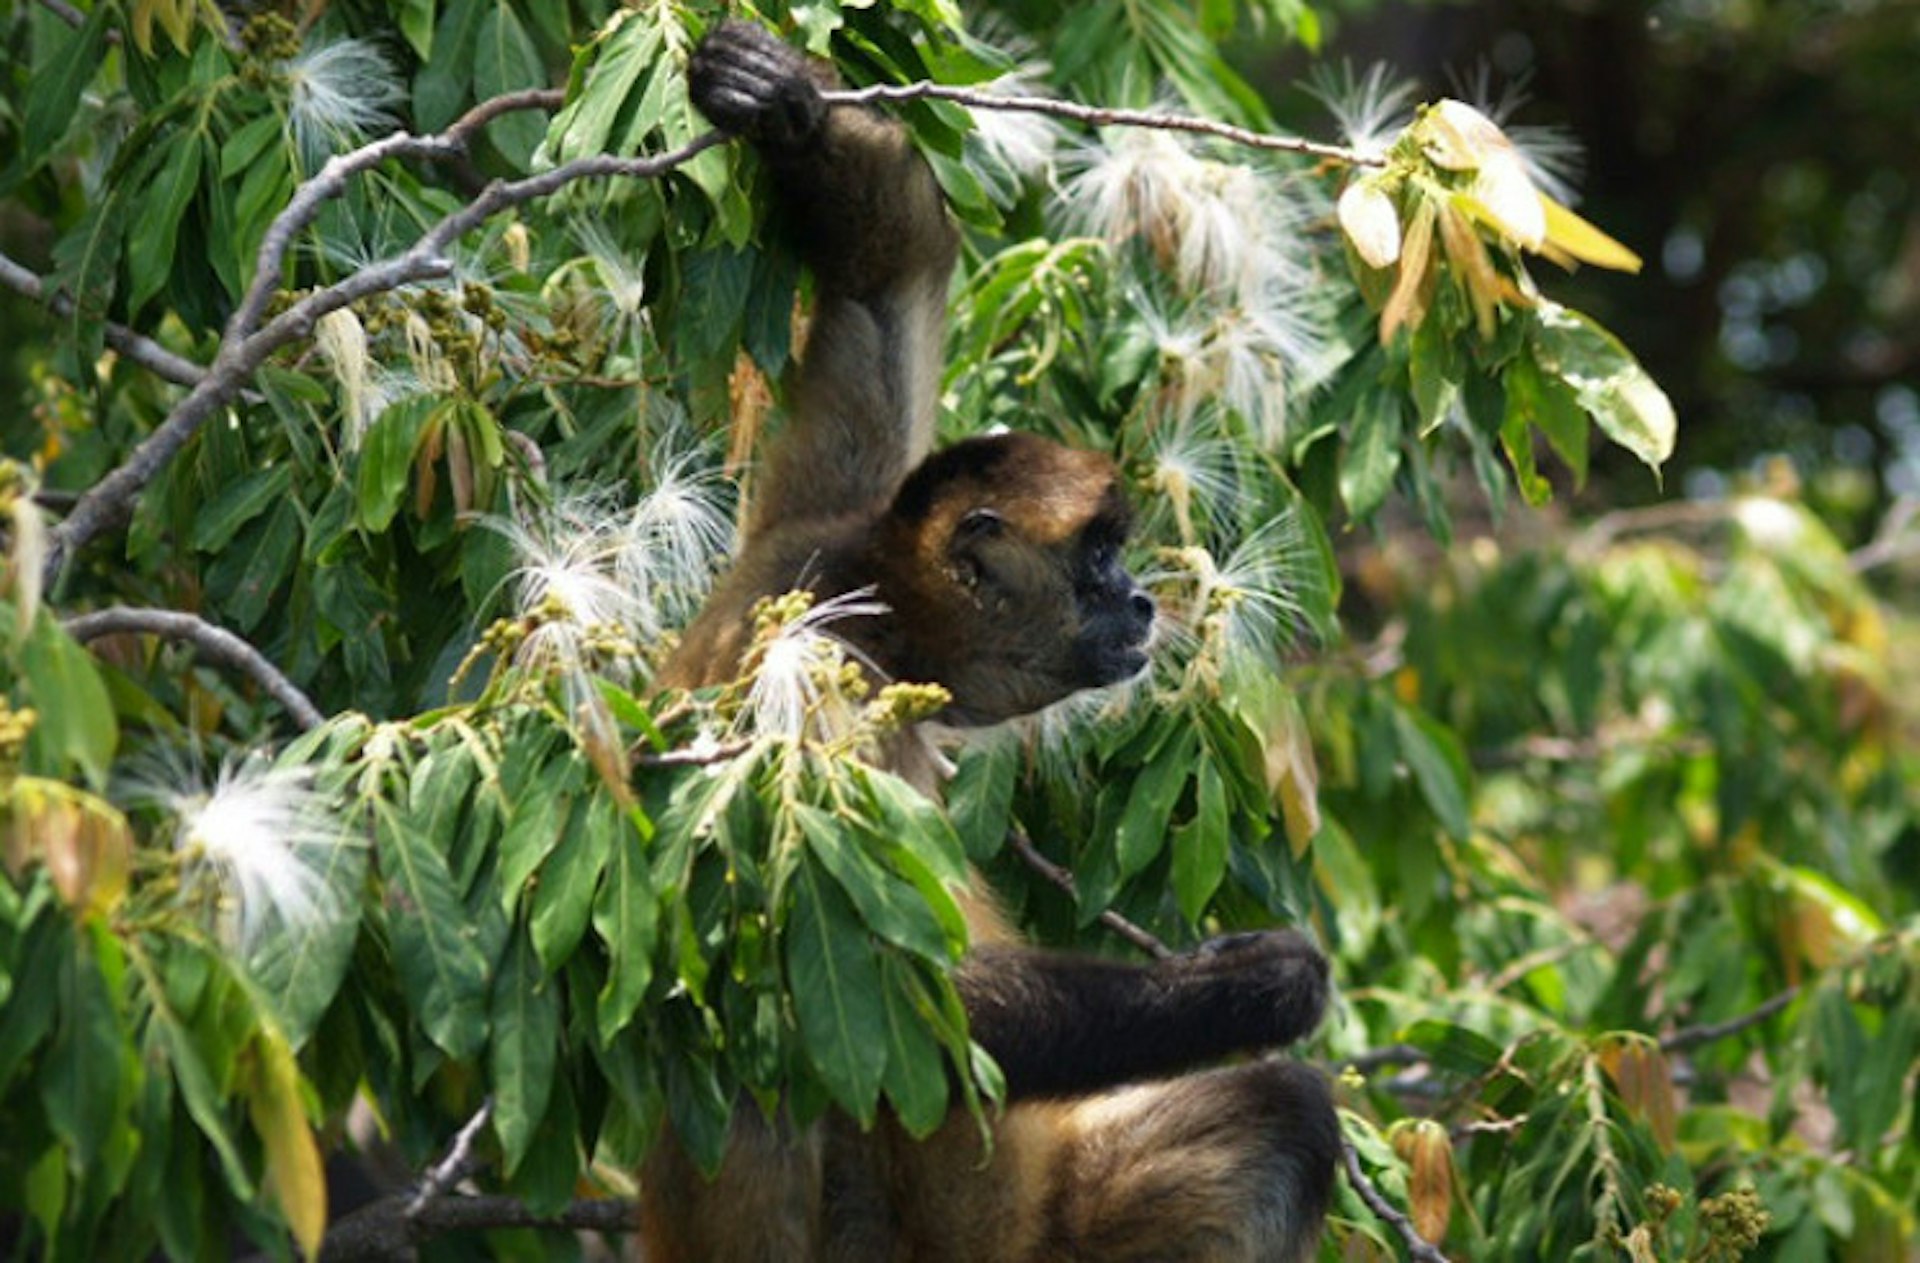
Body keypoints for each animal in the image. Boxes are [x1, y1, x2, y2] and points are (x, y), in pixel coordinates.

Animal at [645, 22, 1336, 1259]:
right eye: (1099, 561)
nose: (1143, 606)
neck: (867, 604)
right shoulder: (818, 676)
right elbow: (907, 1001)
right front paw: (1263, 980)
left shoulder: (821, 517)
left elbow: (885, 282)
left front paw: (779, 100)